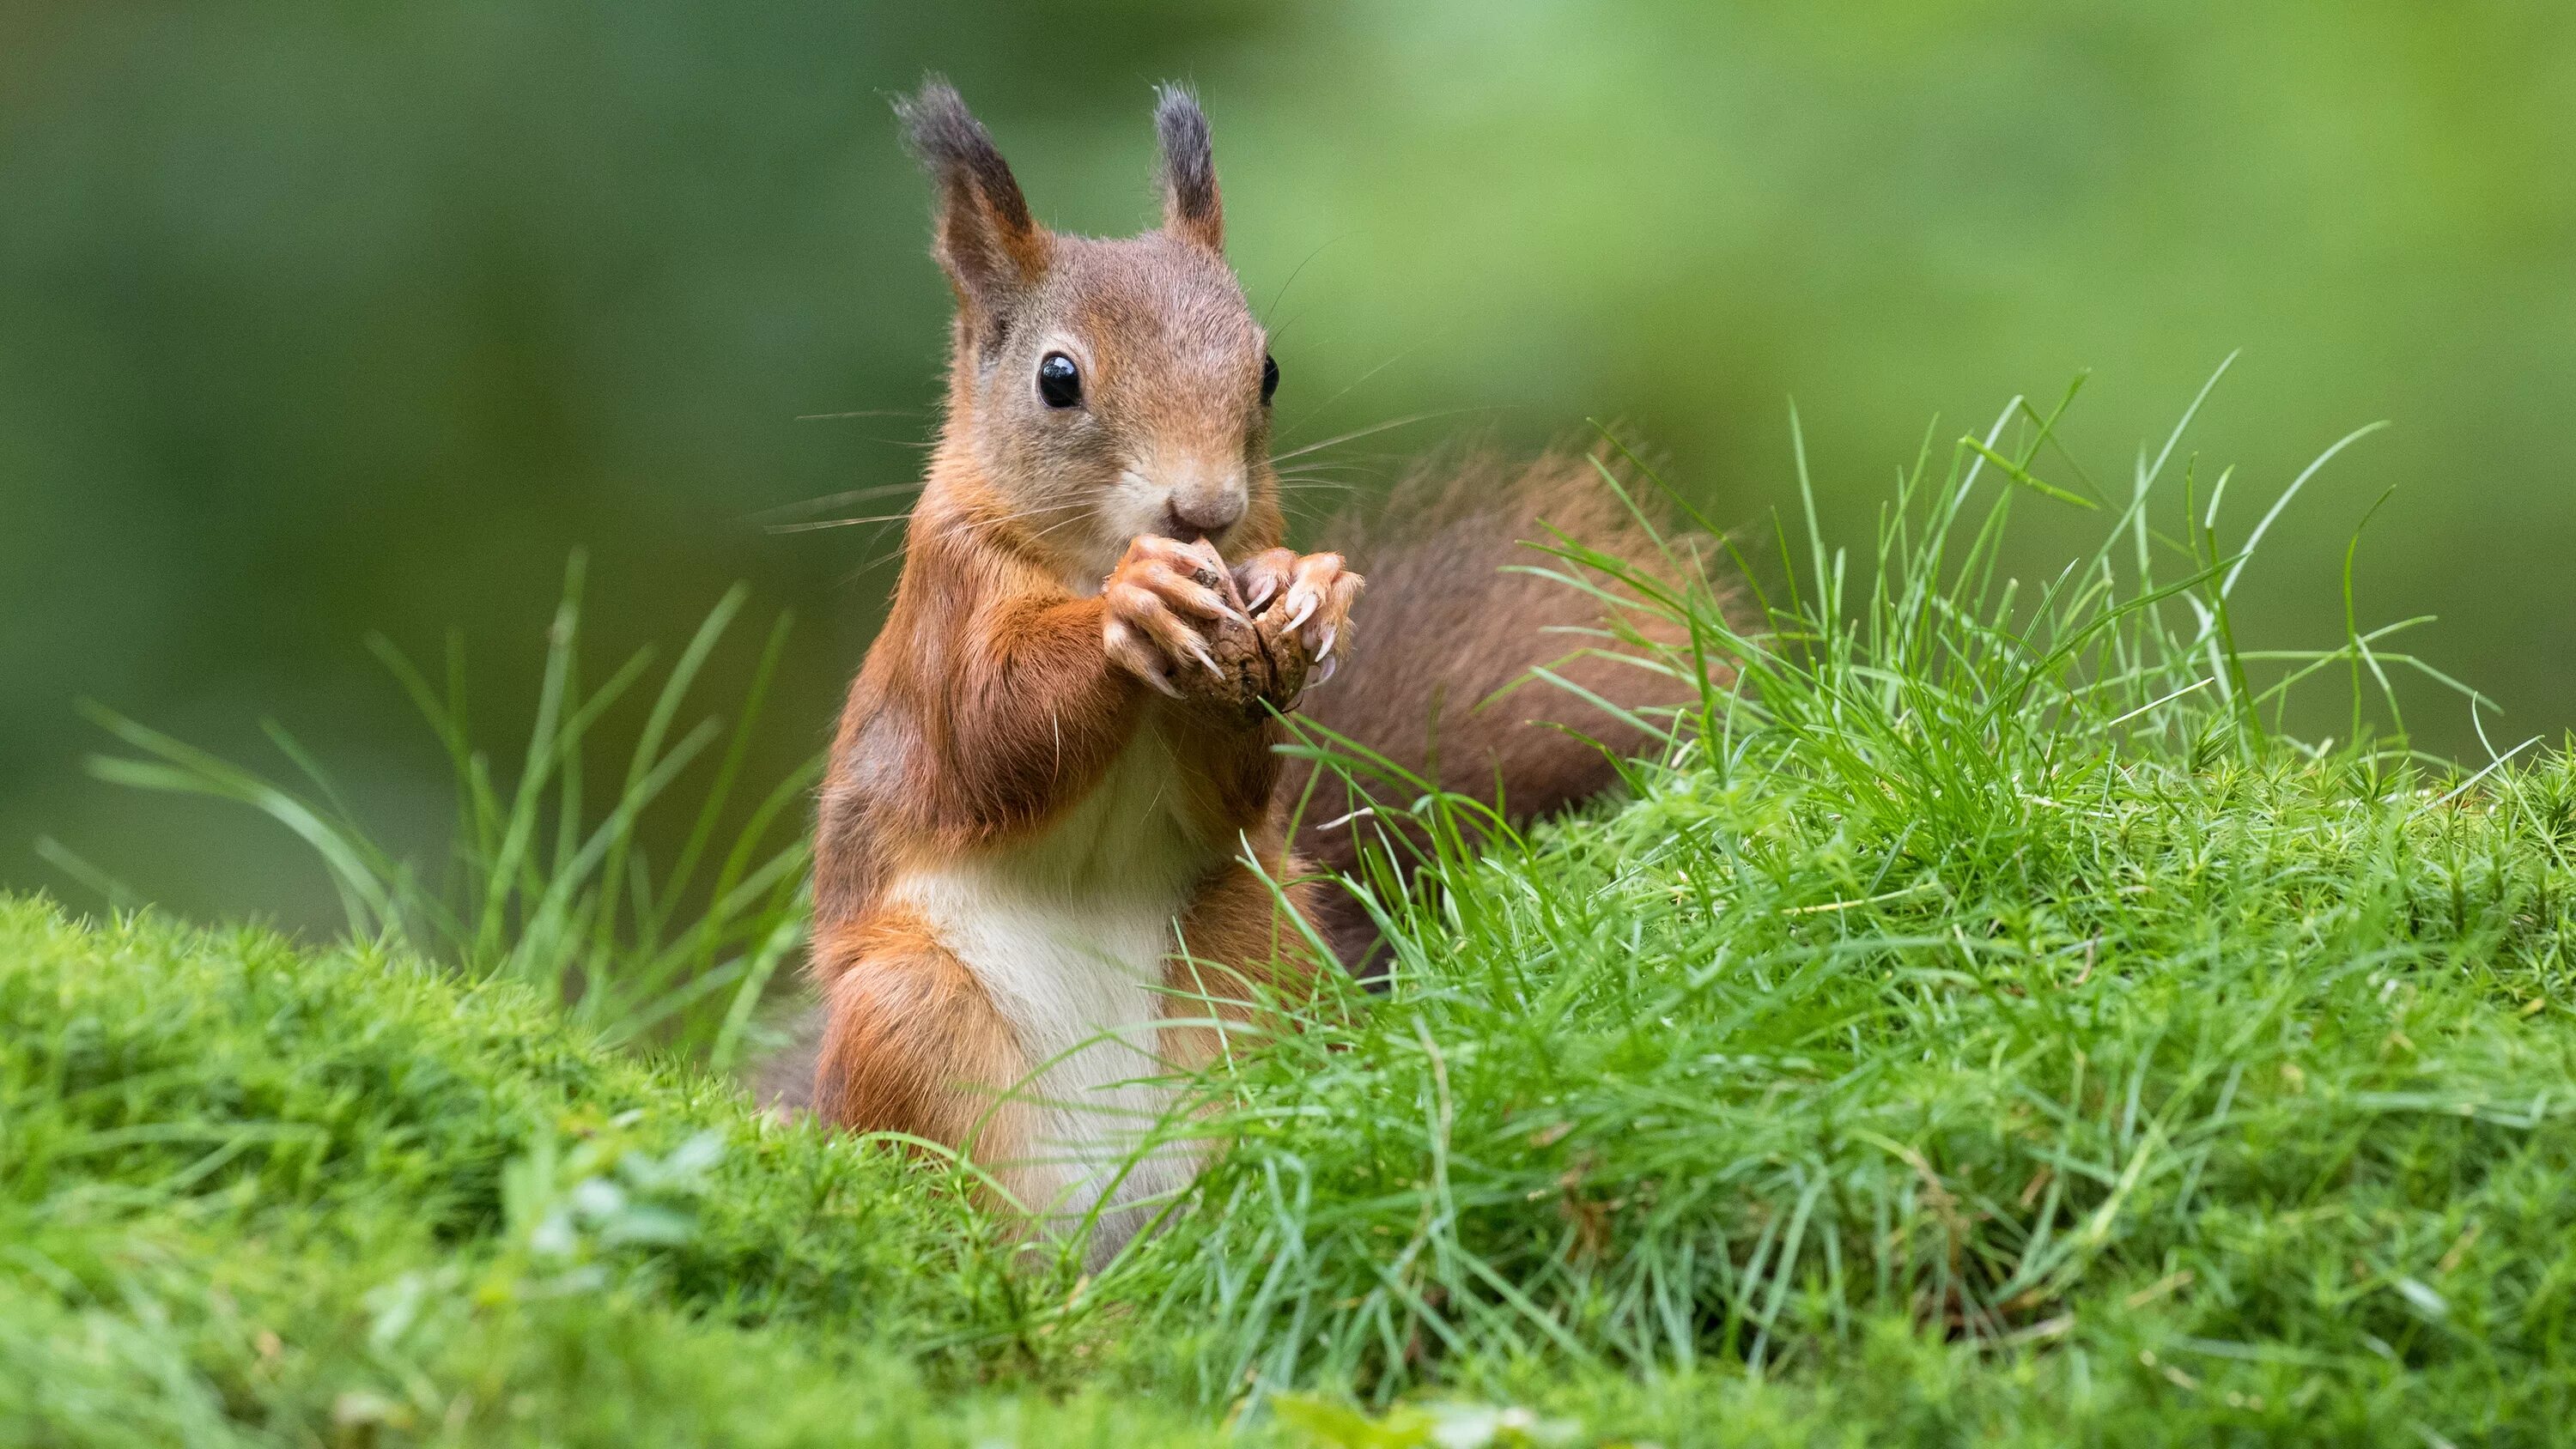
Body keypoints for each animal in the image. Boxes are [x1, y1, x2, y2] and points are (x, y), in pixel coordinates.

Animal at [793, 82, 1700, 1261]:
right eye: (1056, 379)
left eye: (1266, 368)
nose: (1208, 509)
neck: (1086, 559)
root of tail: (1109, 1217)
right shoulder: (944, 613)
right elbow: (991, 738)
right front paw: (1131, 607)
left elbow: (1234, 786)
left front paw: (1307, 588)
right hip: (907, 1018)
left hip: (1256, 965)